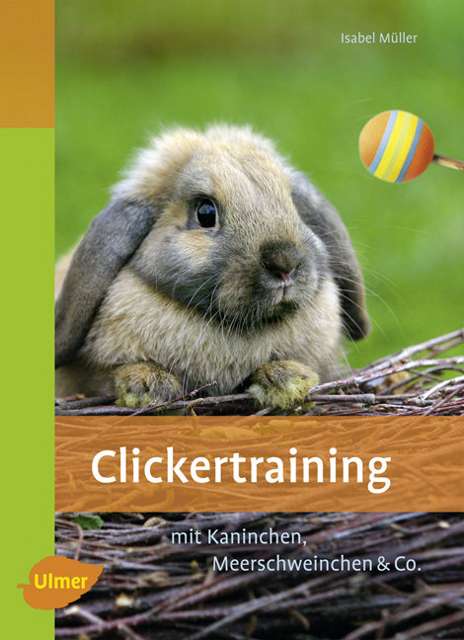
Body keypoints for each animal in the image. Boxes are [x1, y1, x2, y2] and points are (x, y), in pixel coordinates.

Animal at [55, 125, 369, 409]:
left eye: (293, 204)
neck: (238, 328)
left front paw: (287, 379)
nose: (285, 262)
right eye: (205, 213)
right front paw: (147, 386)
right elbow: (111, 374)